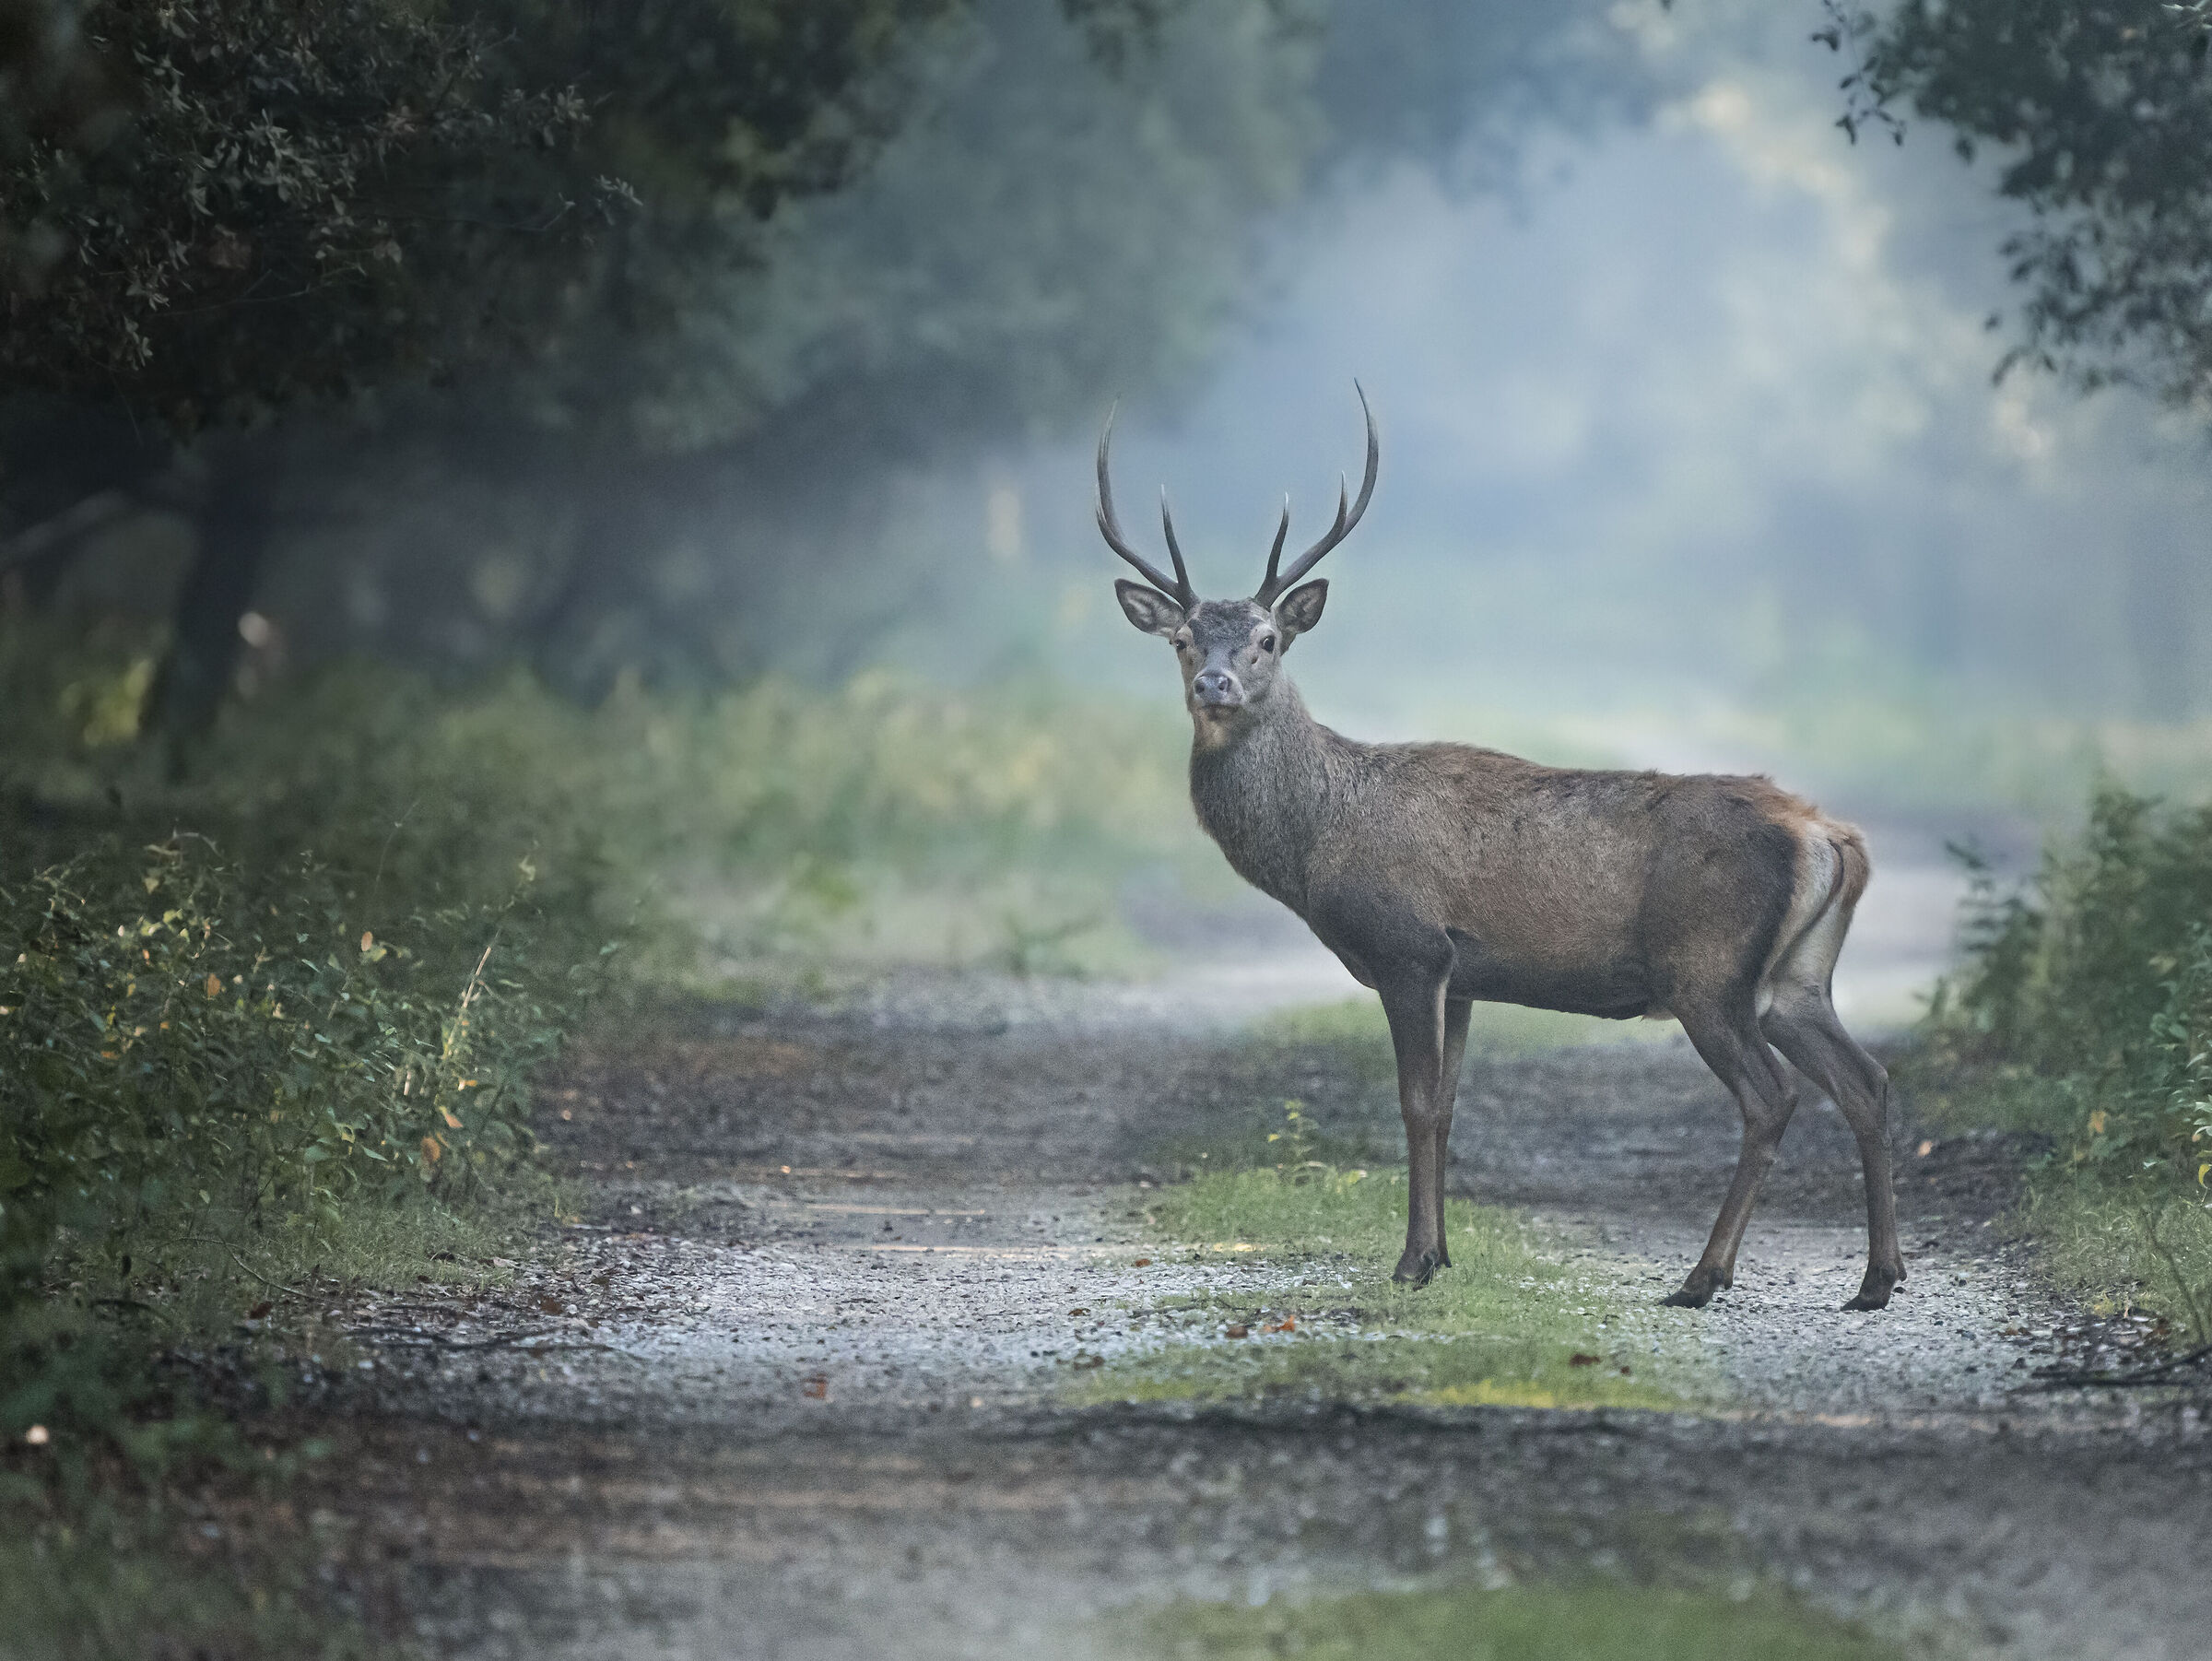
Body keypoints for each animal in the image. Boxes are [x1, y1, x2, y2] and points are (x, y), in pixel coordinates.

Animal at [1095, 386, 1904, 1310]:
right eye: (1183, 639)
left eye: (1267, 639)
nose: (1214, 684)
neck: (1317, 844)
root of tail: (1829, 836)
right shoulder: (1466, 973)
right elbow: (1448, 1106)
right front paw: (1442, 1256)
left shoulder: (1408, 947)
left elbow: (1415, 1103)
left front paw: (1411, 1260)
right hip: (1797, 980)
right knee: (1868, 1082)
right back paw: (1877, 1278)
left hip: (1709, 970)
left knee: (1772, 1097)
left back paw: (1704, 1277)